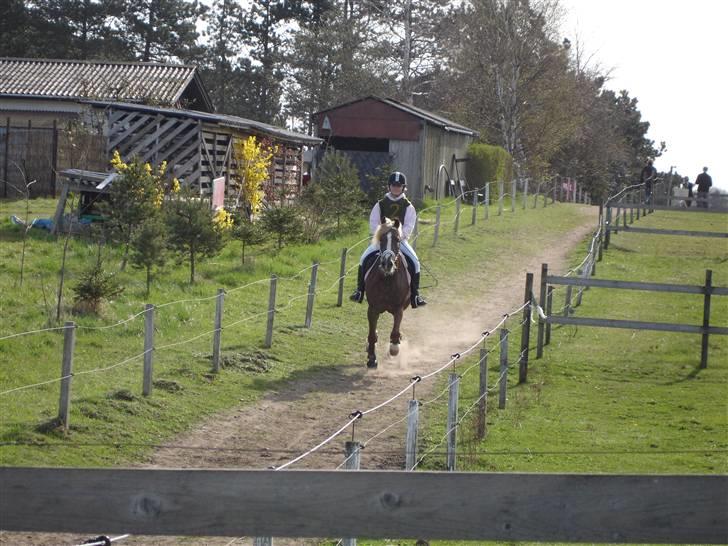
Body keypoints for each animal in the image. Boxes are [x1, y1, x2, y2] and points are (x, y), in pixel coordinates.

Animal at [364, 217, 410, 366]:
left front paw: (394, 348)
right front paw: (372, 358)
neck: (387, 279)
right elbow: (372, 335)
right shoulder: (373, 309)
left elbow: (395, 331)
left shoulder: (398, 309)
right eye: (381, 239)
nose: (387, 263)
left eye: (397, 240)